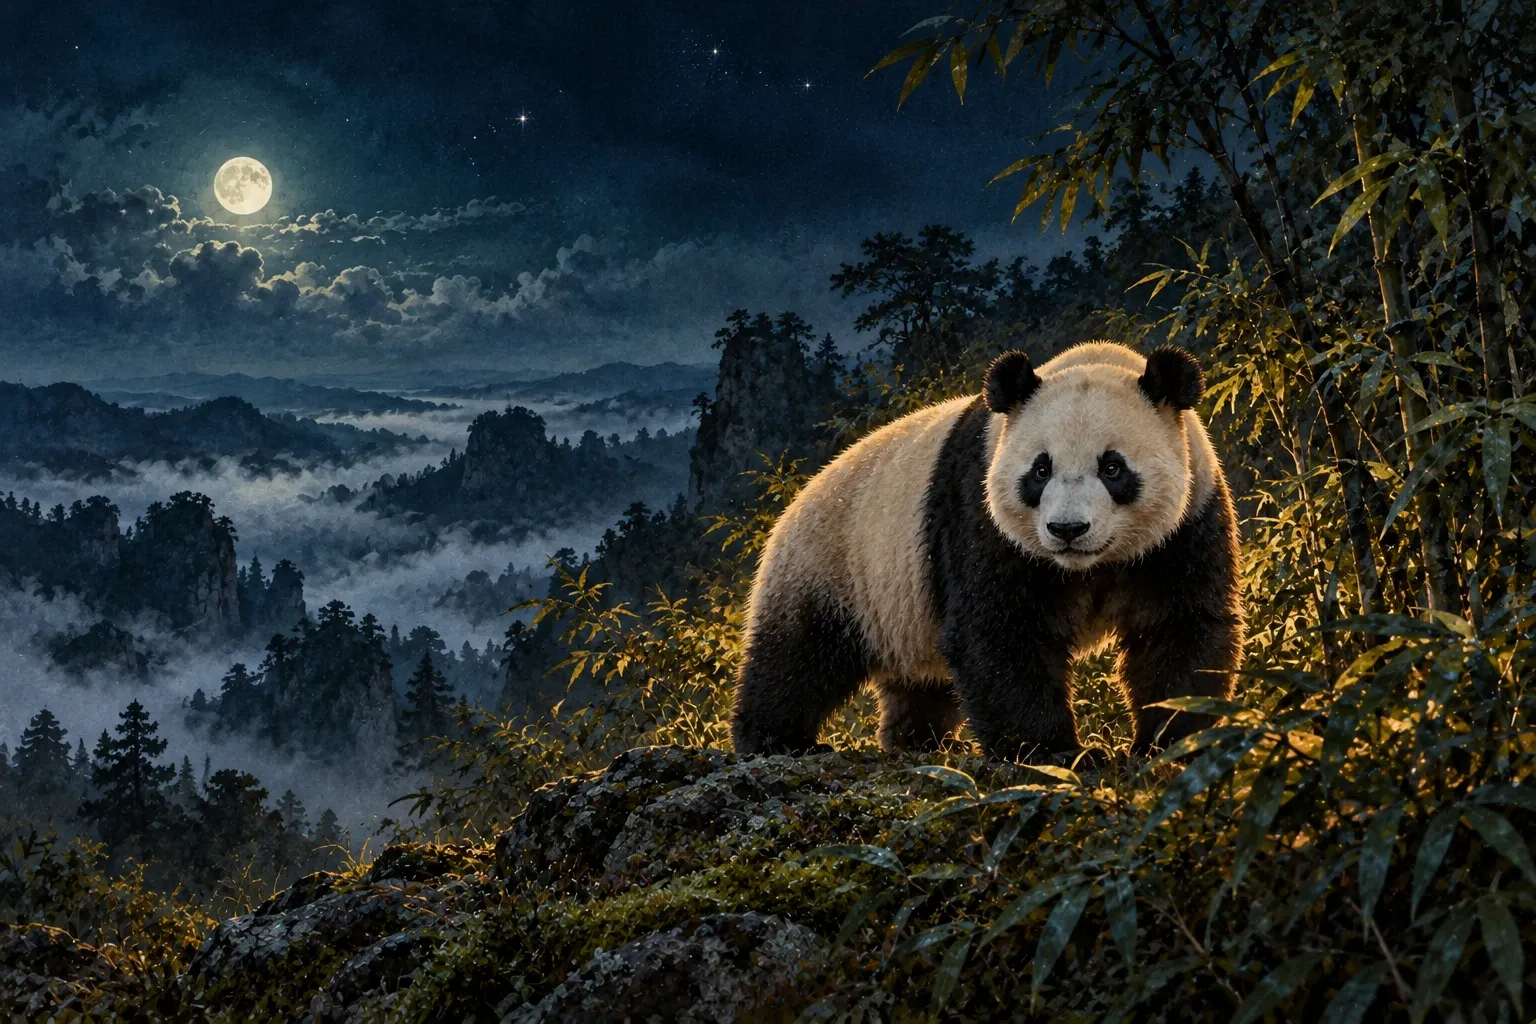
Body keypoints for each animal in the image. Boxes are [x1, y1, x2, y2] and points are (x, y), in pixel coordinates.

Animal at [731, 341, 1243, 762]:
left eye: (1112, 467)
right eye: (1040, 470)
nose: (1067, 529)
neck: (1087, 566)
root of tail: (799, 497)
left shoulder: (1187, 524)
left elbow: (1178, 624)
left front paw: (1170, 738)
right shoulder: (981, 517)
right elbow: (998, 631)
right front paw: (1056, 752)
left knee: (920, 682)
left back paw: (922, 741)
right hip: (835, 562)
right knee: (798, 656)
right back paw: (776, 740)